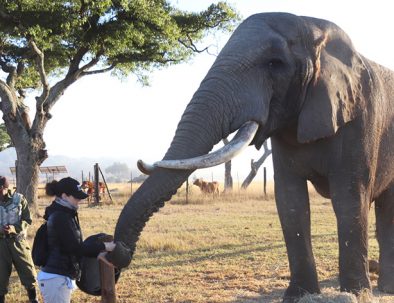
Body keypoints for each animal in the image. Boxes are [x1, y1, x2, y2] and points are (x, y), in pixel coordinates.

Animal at [109, 12, 394, 303]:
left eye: (274, 63)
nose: (114, 251)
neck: (315, 28)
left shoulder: (360, 119)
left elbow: (349, 197)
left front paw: (356, 295)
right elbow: (290, 201)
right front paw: (298, 295)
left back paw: (386, 288)